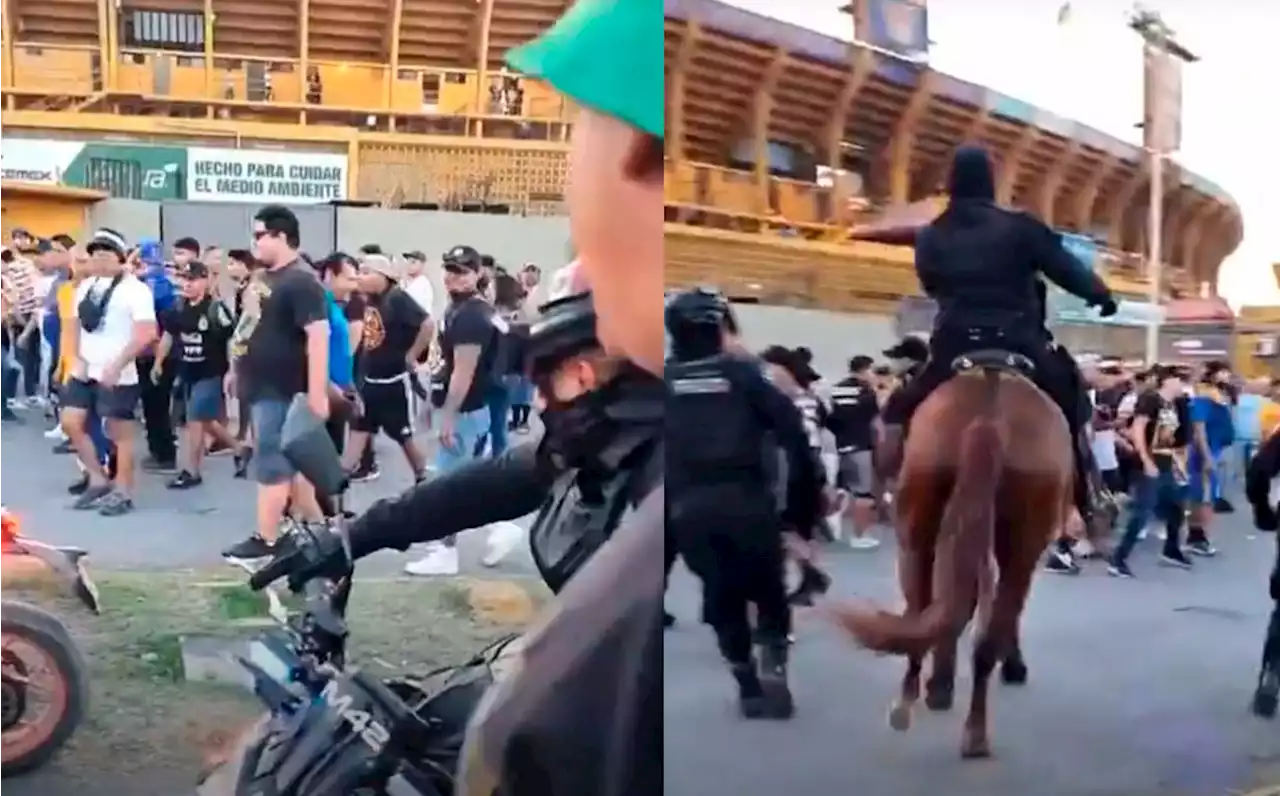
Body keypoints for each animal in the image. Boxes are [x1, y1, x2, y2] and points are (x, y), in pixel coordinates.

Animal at [834, 358, 1075, 762]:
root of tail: (990, 413)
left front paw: (941, 684)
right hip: (1016, 543)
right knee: (977, 624)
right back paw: (972, 727)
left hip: (918, 531)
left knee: (924, 609)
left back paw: (915, 705)